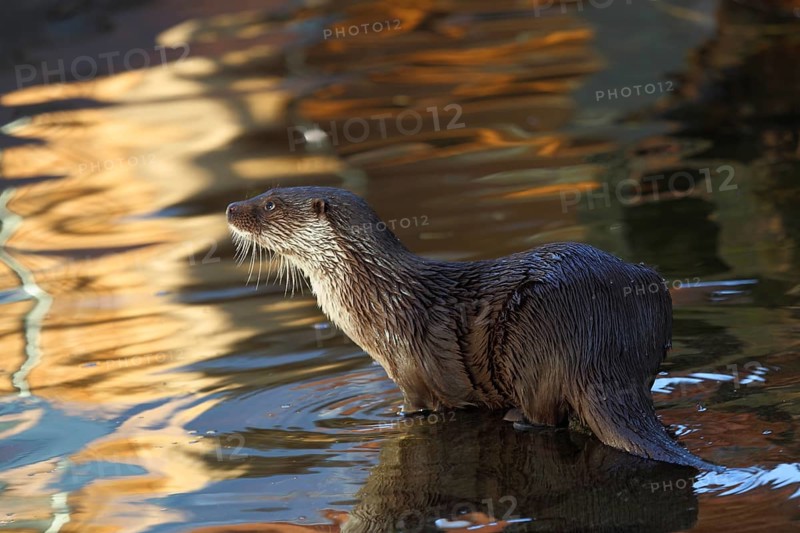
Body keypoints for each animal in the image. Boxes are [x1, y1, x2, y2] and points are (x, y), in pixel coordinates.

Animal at [226, 186, 720, 471]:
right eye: (265, 192)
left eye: (269, 204)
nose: (230, 207)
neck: (380, 298)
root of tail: (605, 348)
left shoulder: (411, 375)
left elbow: (417, 409)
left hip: (533, 333)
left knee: (545, 415)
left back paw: (517, 416)